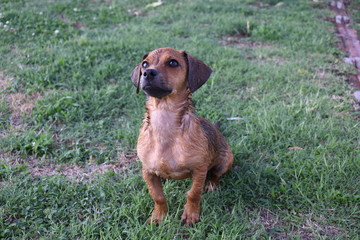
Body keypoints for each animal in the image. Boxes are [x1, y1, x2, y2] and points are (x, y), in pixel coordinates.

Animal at [131, 47, 233, 226]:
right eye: (144, 64)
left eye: (173, 62)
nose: (148, 73)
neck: (164, 121)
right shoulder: (147, 171)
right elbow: (157, 196)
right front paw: (159, 216)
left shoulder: (199, 170)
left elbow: (193, 194)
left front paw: (191, 215)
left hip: (226, 160)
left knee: (215, 174)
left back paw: (212, 185)